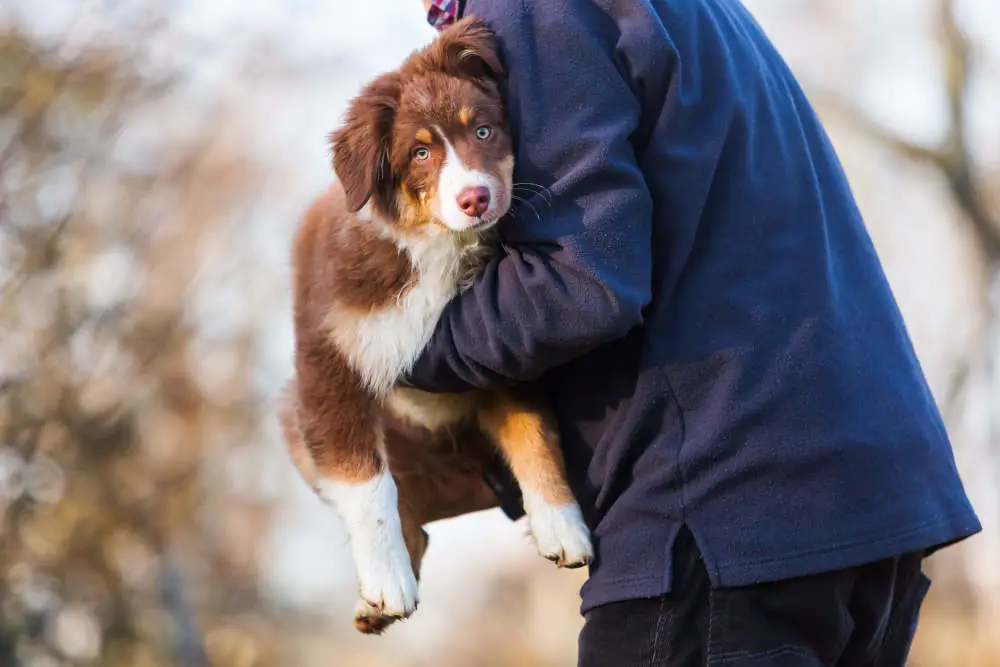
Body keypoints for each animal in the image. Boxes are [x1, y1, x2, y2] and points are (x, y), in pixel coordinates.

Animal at [278, 17, 588, 636]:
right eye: (420, 152)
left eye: (485, 131)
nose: (476, 198)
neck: (436, 245)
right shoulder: (328, 364)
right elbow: (367, 485)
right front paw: (387, 582)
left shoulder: (502, 343)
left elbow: (535, 435)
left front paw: (563, 523)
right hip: (291, 410)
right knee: (403, 506)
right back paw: (377, 601)